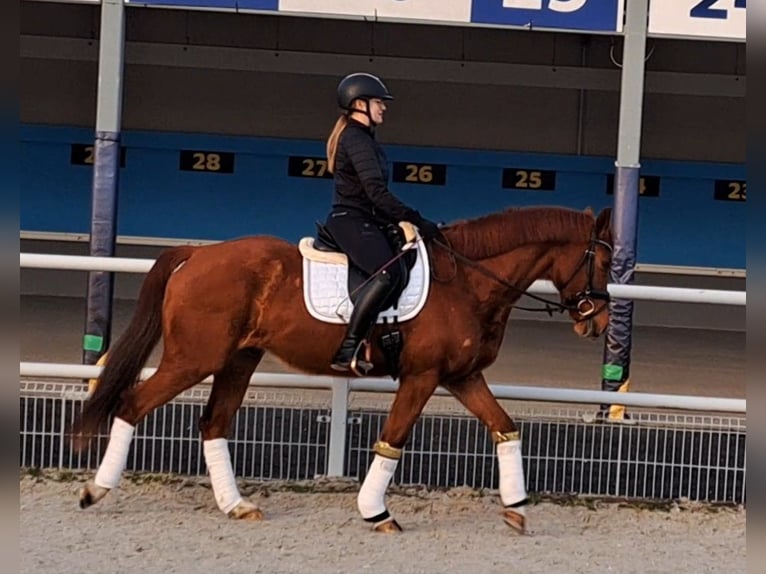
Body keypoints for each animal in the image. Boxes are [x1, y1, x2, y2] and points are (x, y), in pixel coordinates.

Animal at [70, 206, 612, 536]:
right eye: (605, 261)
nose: (599, 321)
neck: (465, 281)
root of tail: (197, 255)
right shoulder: (422, 377)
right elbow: (392, 440)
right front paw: (377, 512)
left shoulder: (460, 376)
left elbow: (505, 427)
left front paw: (516, 511)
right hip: (193, 359)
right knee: (133, 404)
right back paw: (96, 490)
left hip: (238, 360)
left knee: (214, 423)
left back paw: (236, 506)